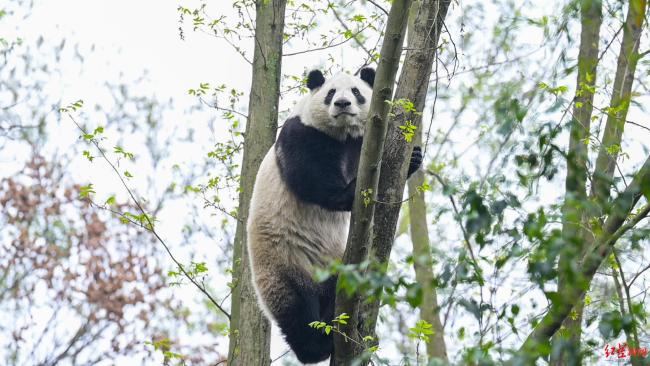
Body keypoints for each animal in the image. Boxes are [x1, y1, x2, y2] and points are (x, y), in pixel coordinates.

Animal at [246, 66, 422, 364]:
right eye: (330, 93)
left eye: (355, 91)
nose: (342, 104)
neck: (343, 135)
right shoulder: (302, 133)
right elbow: (310, 177)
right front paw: (349, 192)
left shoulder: (365, 143)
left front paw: (414, 159)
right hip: (281, 260)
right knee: (295, 308)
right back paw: (317, 345)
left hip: (332, 261)